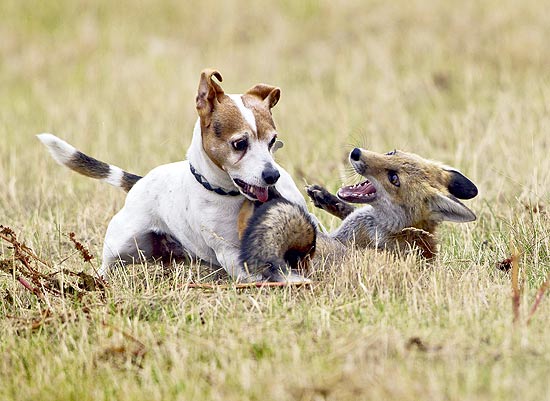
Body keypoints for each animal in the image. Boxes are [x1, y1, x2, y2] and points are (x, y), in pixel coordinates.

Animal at [38, 69, 308, 282]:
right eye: (240, 144)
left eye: (272, 141)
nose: (272, 176)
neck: (230, 194)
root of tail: (140, 180)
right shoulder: (230, 252)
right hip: (122, 241)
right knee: (108, 262)